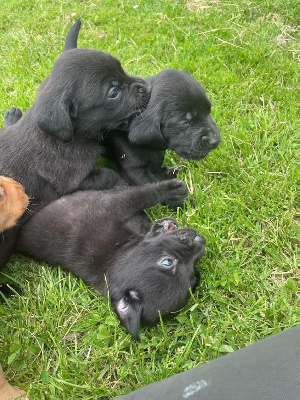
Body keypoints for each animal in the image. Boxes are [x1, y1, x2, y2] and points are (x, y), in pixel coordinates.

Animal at [15, 180, 205, 340]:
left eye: (193, 278)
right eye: (167, 262)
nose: (201, 243)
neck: (113, 255)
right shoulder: (115, 204)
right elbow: (145, 193)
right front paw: (173, 189)